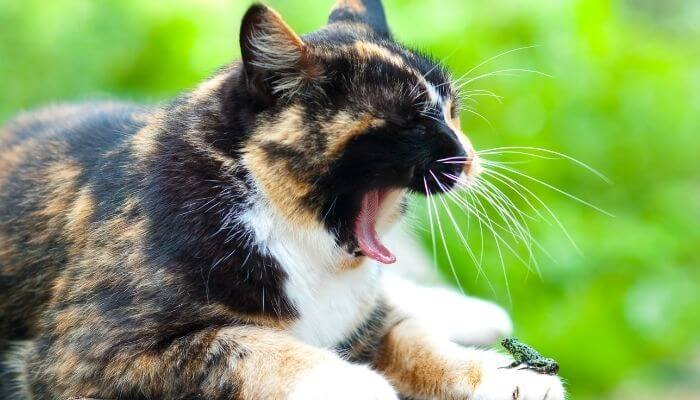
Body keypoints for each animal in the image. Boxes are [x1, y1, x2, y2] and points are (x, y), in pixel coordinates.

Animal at [0, 0, 568, 400]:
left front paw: (508, 375)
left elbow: (412, 338)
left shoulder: (365, 320)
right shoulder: (84, 354)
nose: (467, 157)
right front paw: (354, 381)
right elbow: (239, 343)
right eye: (411, 121)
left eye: (451, 112)